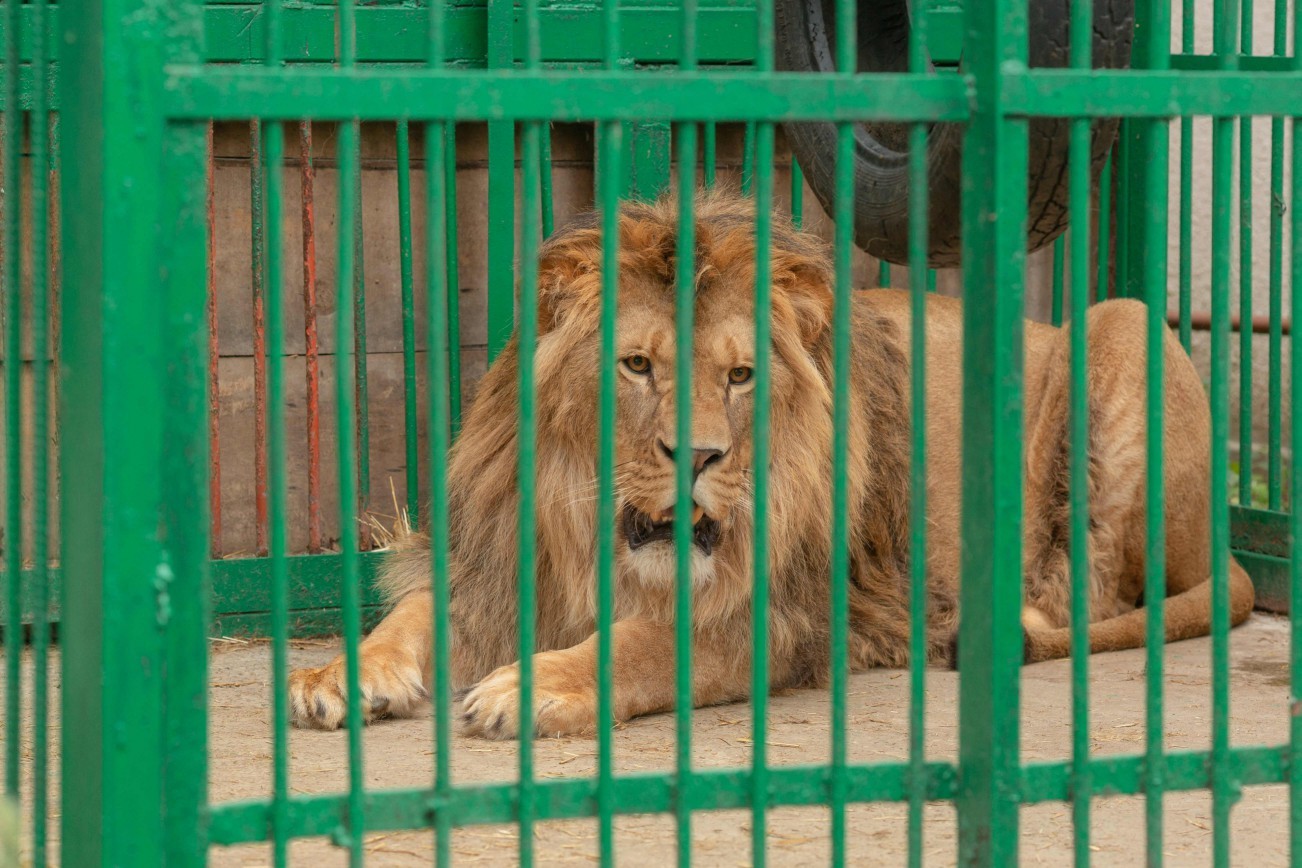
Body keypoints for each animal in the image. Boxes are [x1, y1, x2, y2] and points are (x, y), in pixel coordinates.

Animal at [290, 187, 1255, 739]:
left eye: (740, 375)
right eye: (637, 366)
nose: (700, 456)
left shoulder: (788, 613)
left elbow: (651, 641)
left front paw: (538, 686)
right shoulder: (499, 567)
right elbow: (413, 614)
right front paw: (342, 674)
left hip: (1127, 322)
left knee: (1093, 591)